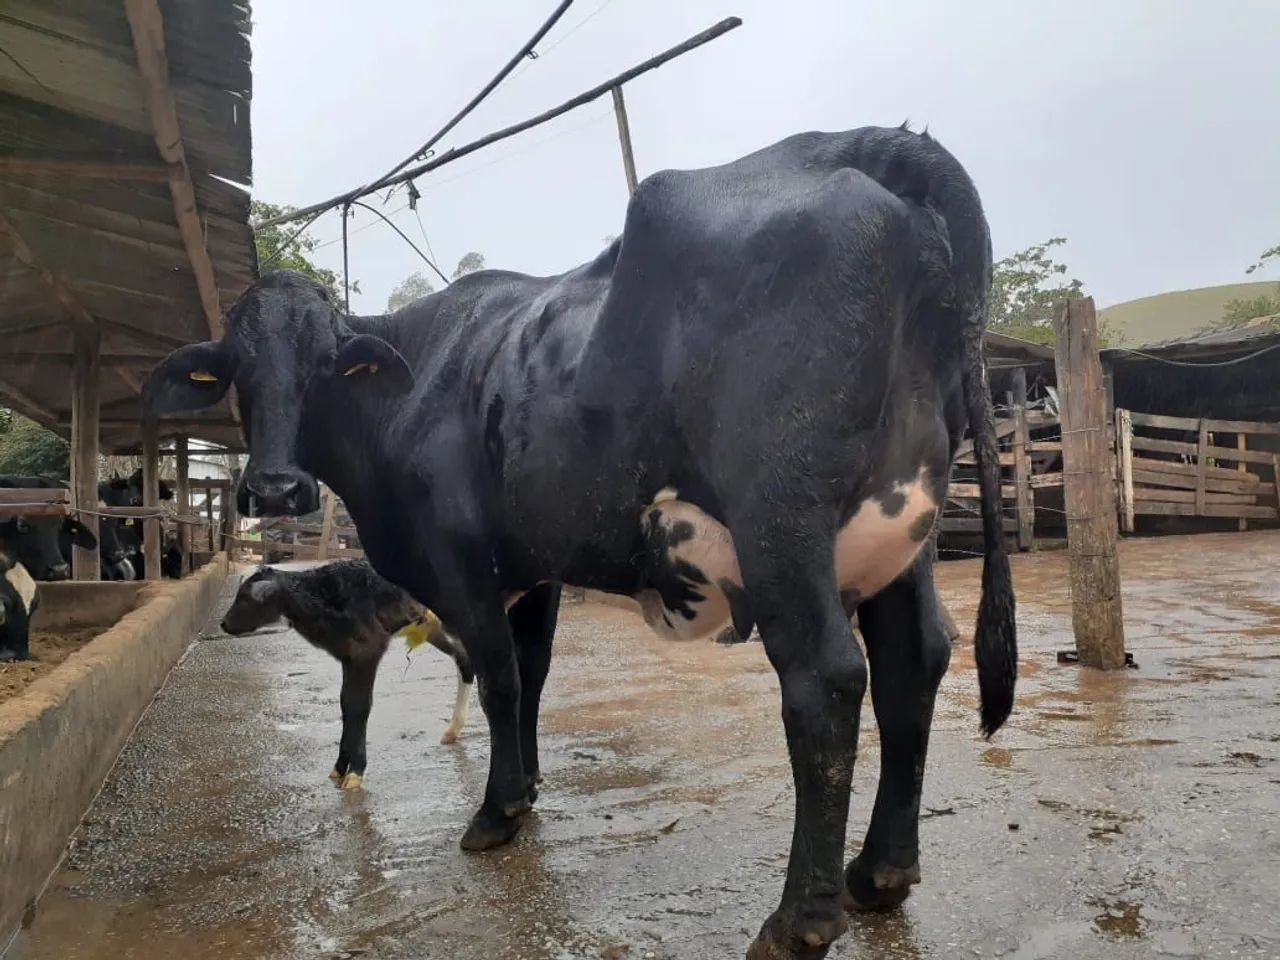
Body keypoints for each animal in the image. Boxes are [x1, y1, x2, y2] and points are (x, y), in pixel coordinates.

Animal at [220, 560, 474, 787]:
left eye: (244, 597)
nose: (223, 624)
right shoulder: (348, 656)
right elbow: (346, 703)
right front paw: (339, 768)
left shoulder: (367, 650)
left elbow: (359, 707)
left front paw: (355, 772)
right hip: (431, 626)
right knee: (464, 661)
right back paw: (453, 729)